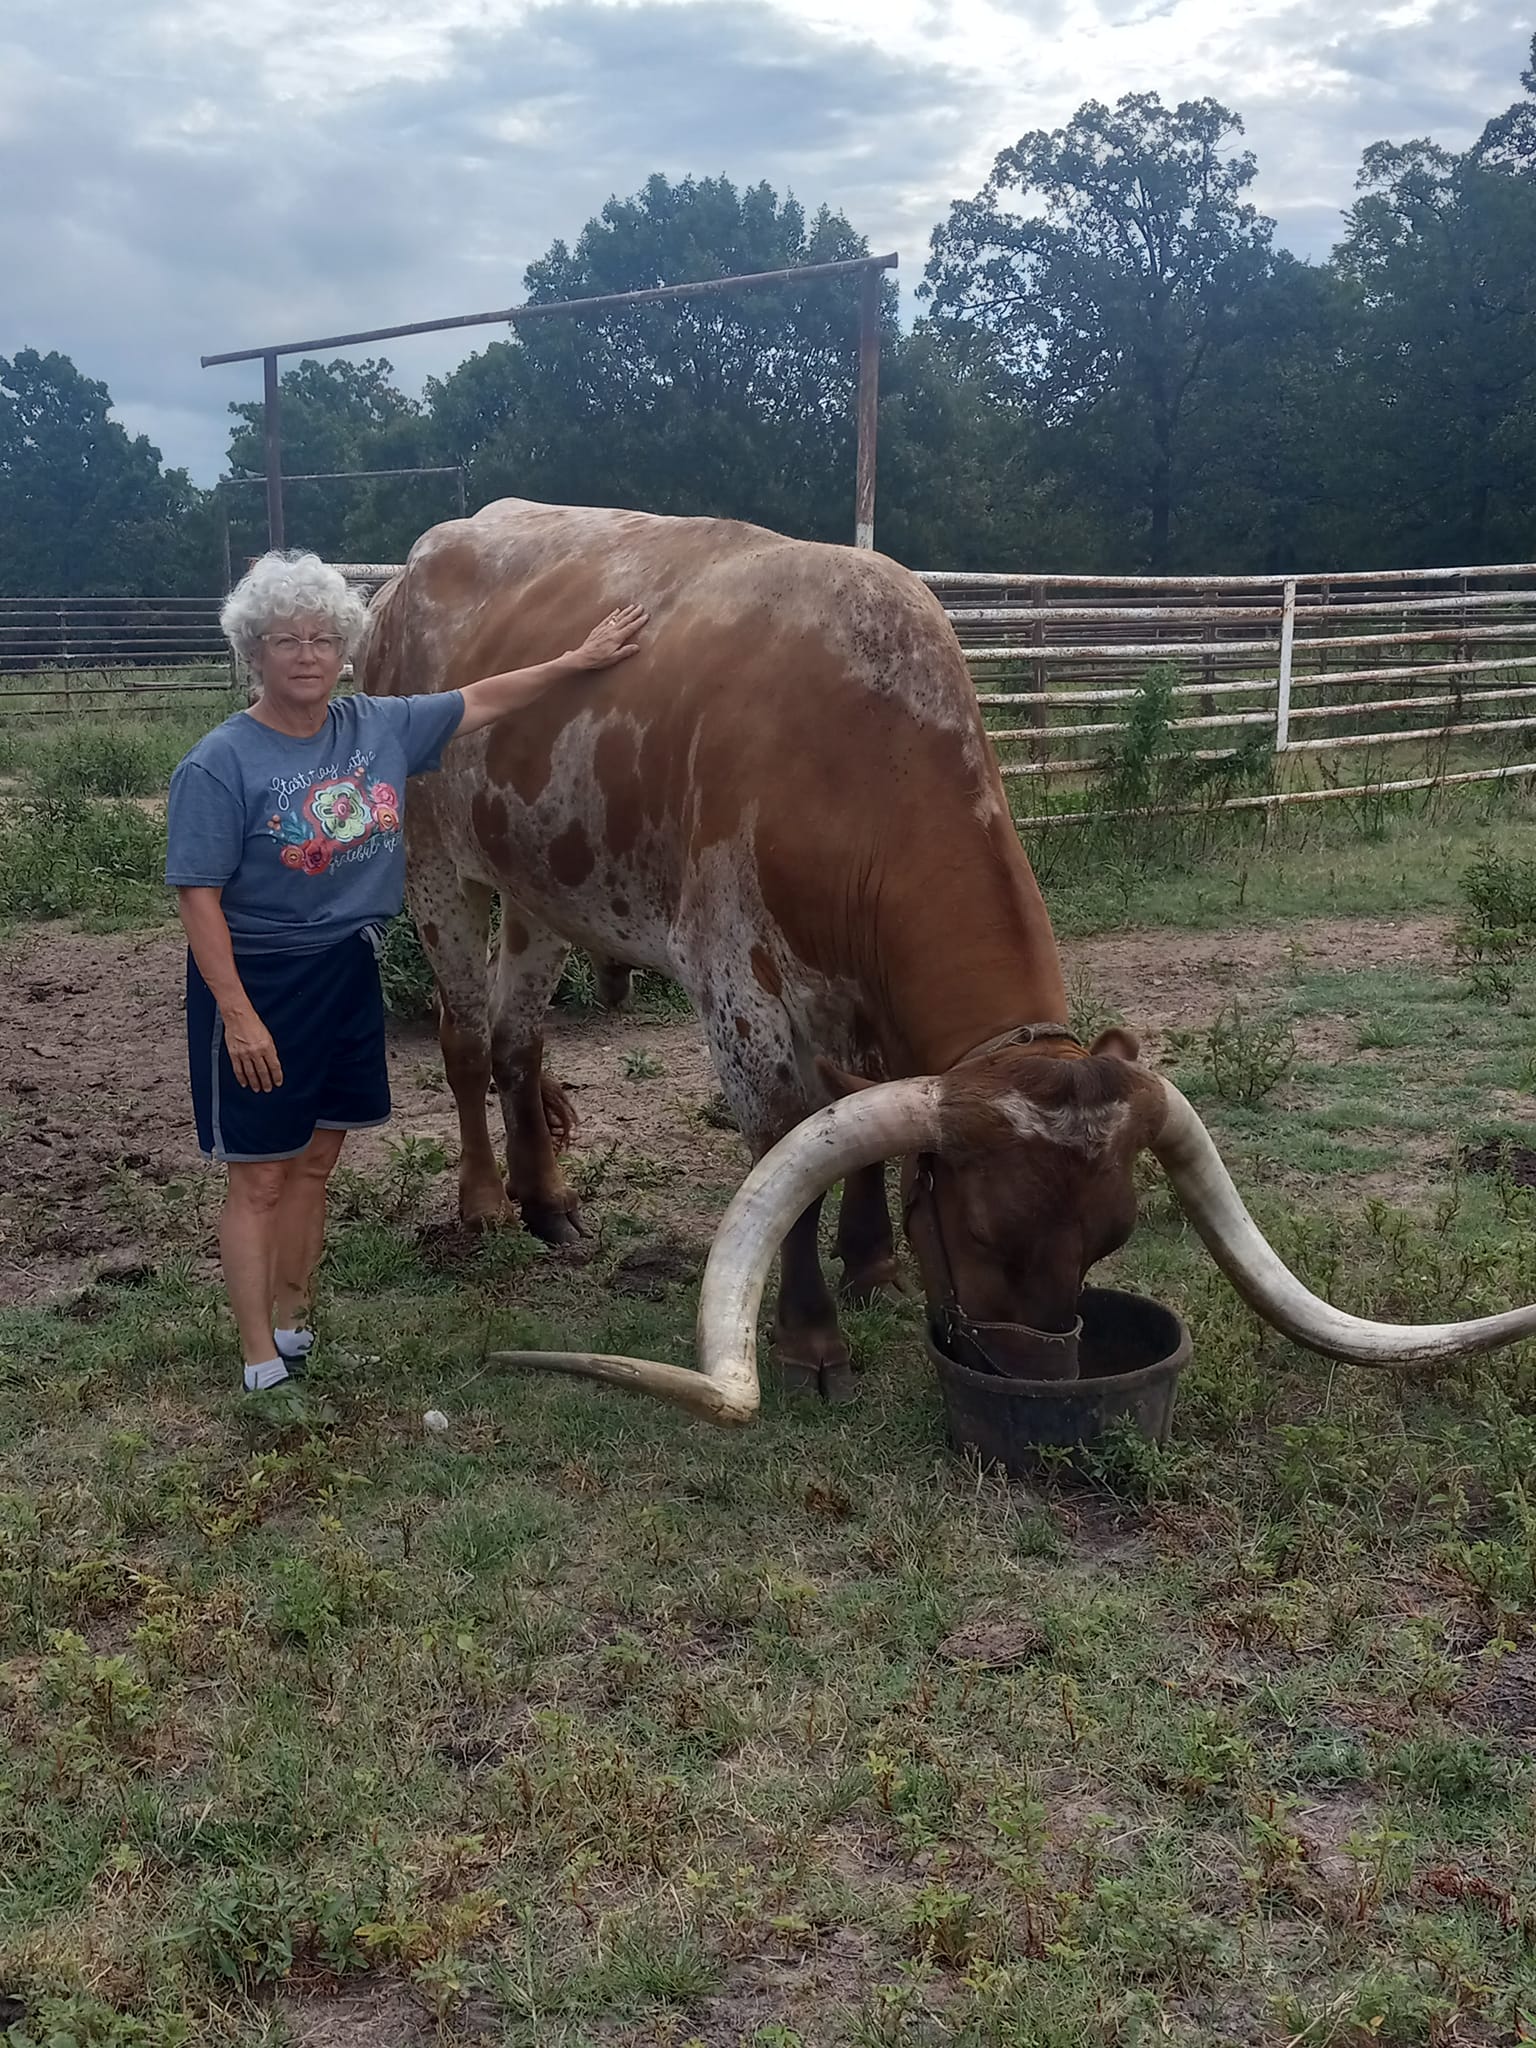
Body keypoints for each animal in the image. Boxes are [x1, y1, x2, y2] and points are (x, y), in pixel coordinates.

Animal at [358, 500, 1536, 1423]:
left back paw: (551, 1205)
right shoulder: (736, 984)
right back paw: (481, 1209)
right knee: (467, 1042)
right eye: (979, 1229)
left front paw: (873, 1261)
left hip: (540, 889)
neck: (854, 751)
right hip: (437, 871)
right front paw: (815, 1340)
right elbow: (789, 1146)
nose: (1041, 1382)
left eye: (1108, 1239)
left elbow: (859, 1129)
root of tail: (410, 571)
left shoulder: (862, 999)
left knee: (520, 1039)